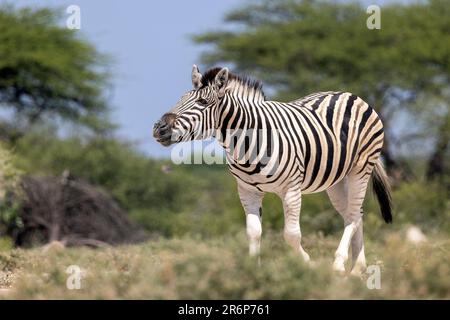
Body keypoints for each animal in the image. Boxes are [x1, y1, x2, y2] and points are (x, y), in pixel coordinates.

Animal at [153, 65, 392, 276]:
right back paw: (358, 269)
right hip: (336, 180)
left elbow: (291, 234)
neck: (246, 143)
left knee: (352, 215)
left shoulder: (292, 190)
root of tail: (349, 94)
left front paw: (307, 264)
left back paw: (340, 265)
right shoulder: (247, 190)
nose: (159, 128)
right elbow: (253, 232)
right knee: (357, 214)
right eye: (180, 99)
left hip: (360, 169)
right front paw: (252, 272)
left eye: (202, 102)